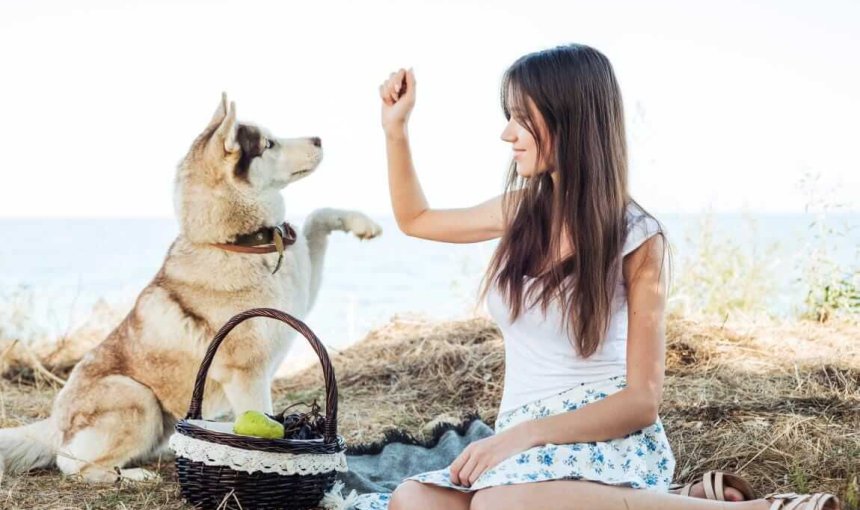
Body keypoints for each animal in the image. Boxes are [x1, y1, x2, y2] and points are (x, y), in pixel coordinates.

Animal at [0, 94, 380, 482]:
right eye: (269, 144)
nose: (319, 139)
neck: (238, 243)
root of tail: (53, 421)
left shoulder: (302, 292)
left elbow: (317, 216)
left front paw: (362, 223)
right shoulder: (248, 376)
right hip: (137, 397)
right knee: (74, 465)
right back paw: (133, 476)